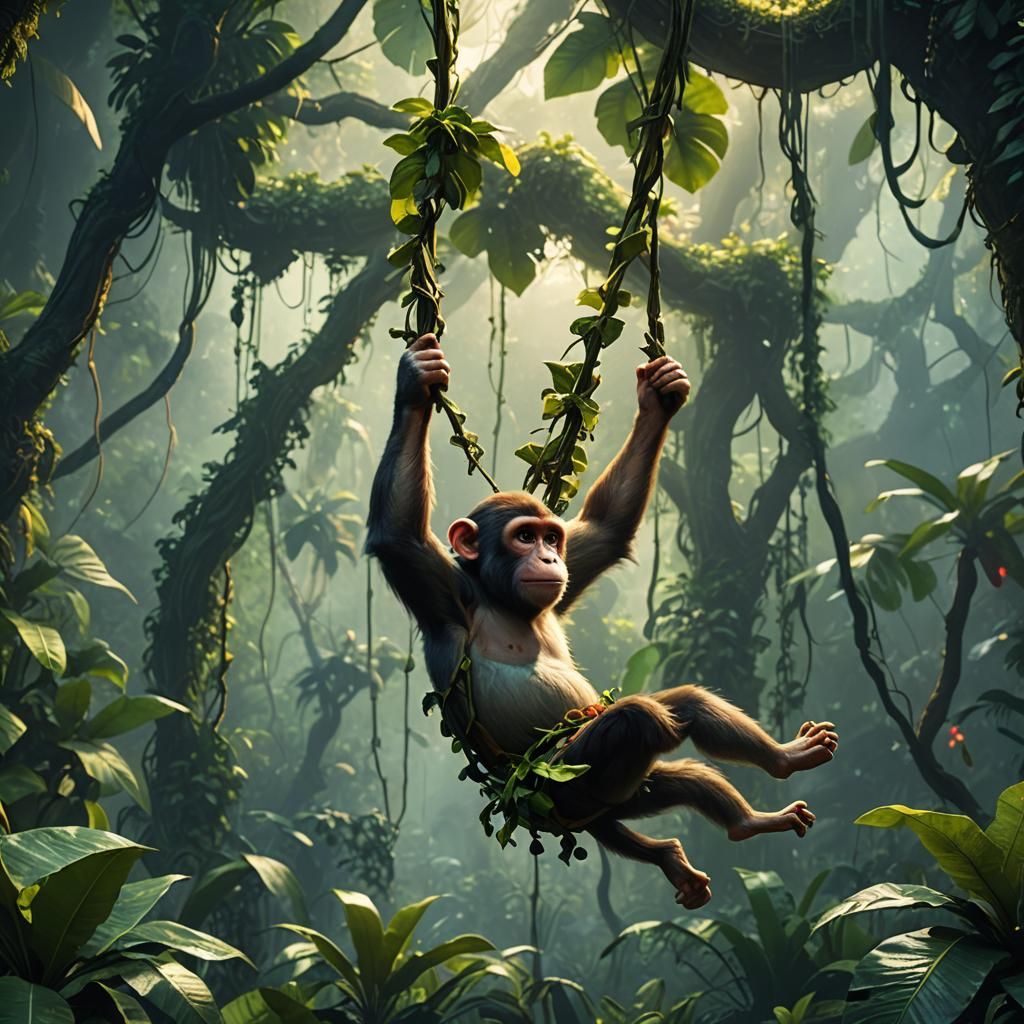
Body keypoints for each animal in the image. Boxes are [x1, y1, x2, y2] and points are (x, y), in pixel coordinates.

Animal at [367, 332, 838, 909]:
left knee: (686, 716)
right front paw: (416, 381)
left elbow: (608, 527)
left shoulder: (566, 580)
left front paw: (659, 397)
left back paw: (766, 788)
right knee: (641, 719)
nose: (549, 557)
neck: (500, 600)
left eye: (551, 536)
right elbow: (397, 534)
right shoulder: (440, 592)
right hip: (565, 786)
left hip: (627, 795)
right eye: (524, 536)